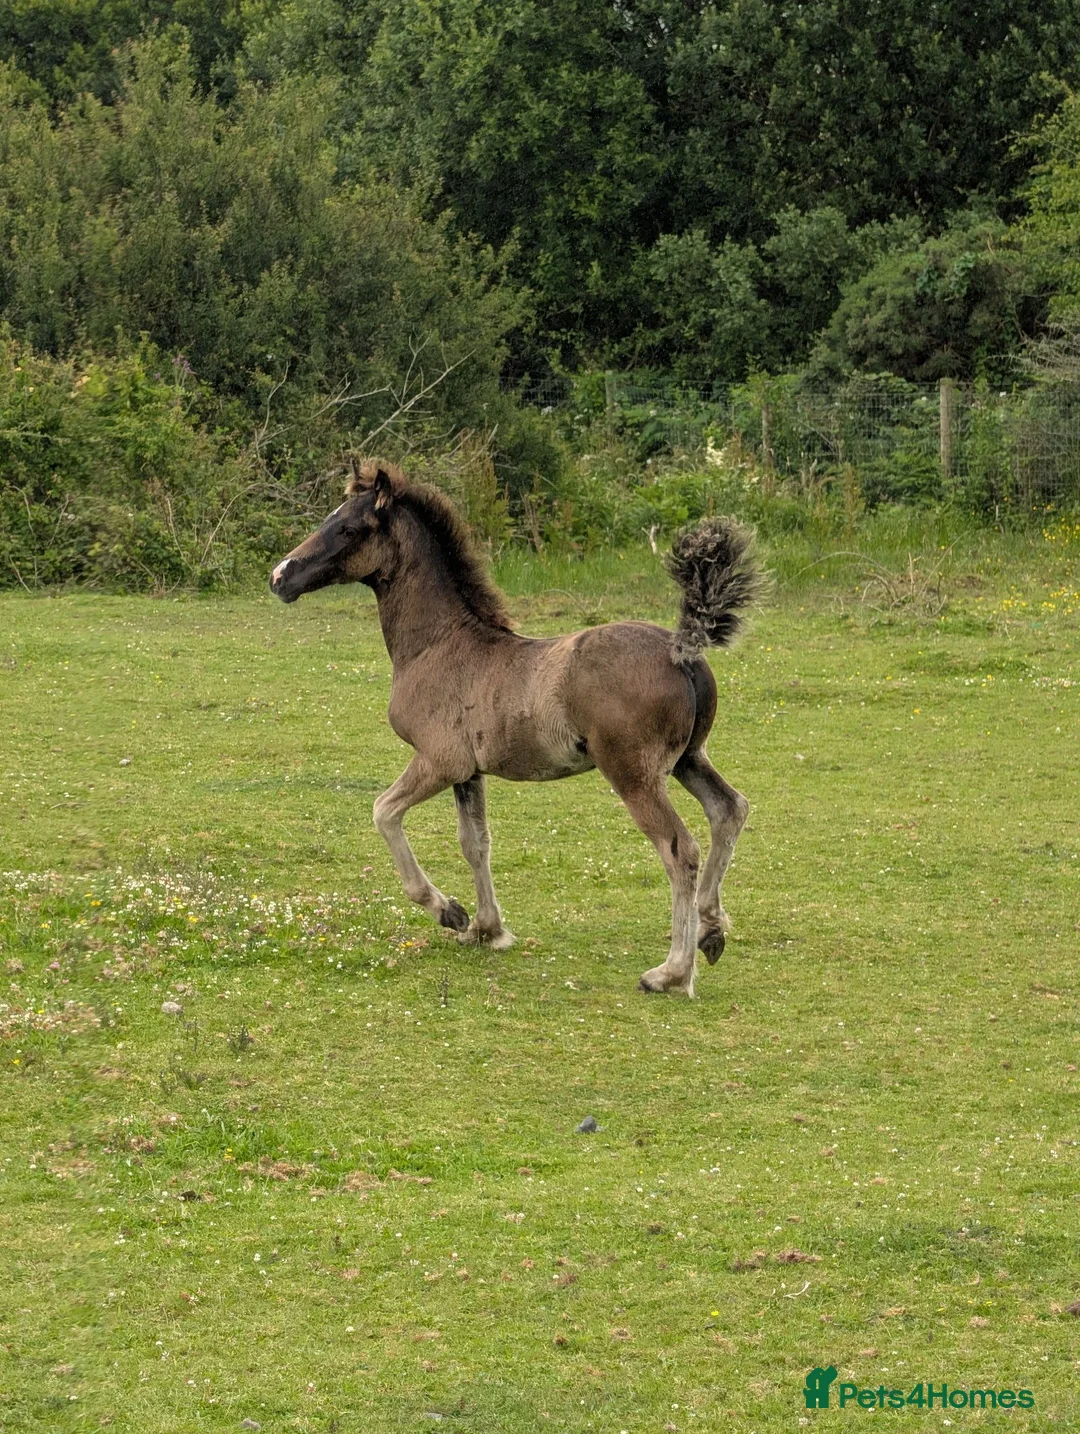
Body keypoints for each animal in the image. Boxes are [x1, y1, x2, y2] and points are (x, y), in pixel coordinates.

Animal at [270, 458, 760, 996]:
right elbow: (475, 842)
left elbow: (384, 812)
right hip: (688, 759)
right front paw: (487, 929)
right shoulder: (469, 771)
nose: (280, 576)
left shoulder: (439, 761)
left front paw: (449, 912)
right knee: (728, 809)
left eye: (347, 528)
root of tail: (682, 648)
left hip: (634, 772)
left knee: (679, 850)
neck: (438, 644)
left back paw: (672, 972)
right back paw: (711, 931)